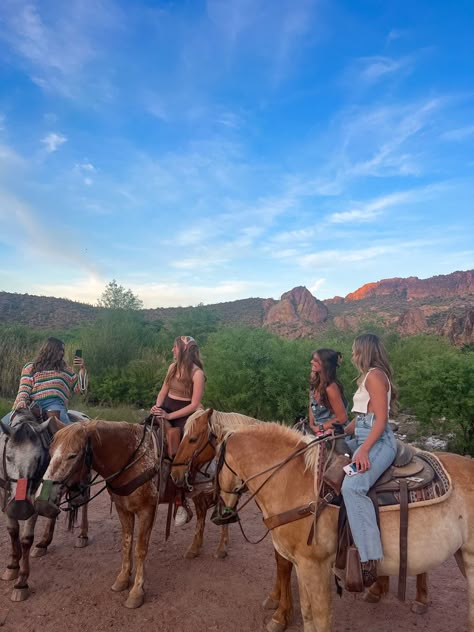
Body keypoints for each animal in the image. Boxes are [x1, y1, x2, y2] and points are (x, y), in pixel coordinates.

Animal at [0, 410, 90, 604]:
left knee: (84, 502)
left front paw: (21, 582)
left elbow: (26, 538)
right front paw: (12, 566)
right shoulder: (4, 495)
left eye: (38, 458)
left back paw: (82, 536)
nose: (20, 507)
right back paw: (43, 543)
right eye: (8, 457)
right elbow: (12, 531)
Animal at [35, 420, 230, 608]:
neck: (131, 460)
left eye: (73, 455)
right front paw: (122, 579)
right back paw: (194, 549)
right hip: (200, 494)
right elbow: (126, 544)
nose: (41, 503)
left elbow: (140, 549)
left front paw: (136, 592)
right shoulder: (123, 509)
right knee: (202, 514)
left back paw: (221, 550)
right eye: (50, 452)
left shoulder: (146, 510)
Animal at [171, 410, 430, 632]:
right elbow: (282, 565)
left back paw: (419, 599)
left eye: (192, 439)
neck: (287, 475)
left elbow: (284, 567)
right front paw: (276, 601)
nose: (175, 474)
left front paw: (280, 614)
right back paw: (378, 588)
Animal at [214, 422, 474, 632]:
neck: (293, 482)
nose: (220, 515)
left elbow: (321, 619)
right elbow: (308, 615)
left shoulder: (315, 566)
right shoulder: (301, 565)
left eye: (214, 463)